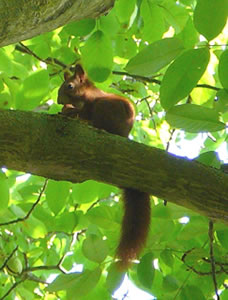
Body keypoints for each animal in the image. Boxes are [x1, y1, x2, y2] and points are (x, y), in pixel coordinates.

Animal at [57, 64, 151, 268]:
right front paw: (65, 109)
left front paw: (69, 111)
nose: (59, 100)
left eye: (69, 86)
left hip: (105, 108)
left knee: (98, 122)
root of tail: (123, 135)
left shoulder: (91, 102)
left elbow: (82, 111)